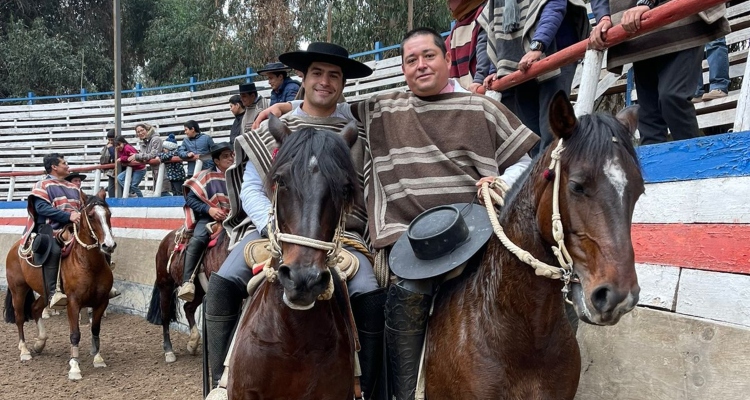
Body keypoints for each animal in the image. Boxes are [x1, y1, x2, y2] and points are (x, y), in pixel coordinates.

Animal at [3, 191, 115, 382]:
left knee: (35, 309)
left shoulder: (101, 302)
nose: (108, 245)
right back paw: (24, 351)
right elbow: (75, 334)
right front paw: (75, 367)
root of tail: (16, 247)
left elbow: (95, 329)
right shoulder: (73, 303)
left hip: (44, 292)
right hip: (18, 289)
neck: (89, 264)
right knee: (19, 317)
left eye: (108, 214)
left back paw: (40, 343)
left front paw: (98, 358)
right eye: (91, 216)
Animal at [146, 225, 229, 362]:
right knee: (165, 315)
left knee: (188, 308)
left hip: (199, 292)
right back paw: (169, 351)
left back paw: (193, 343)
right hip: (165, 285)